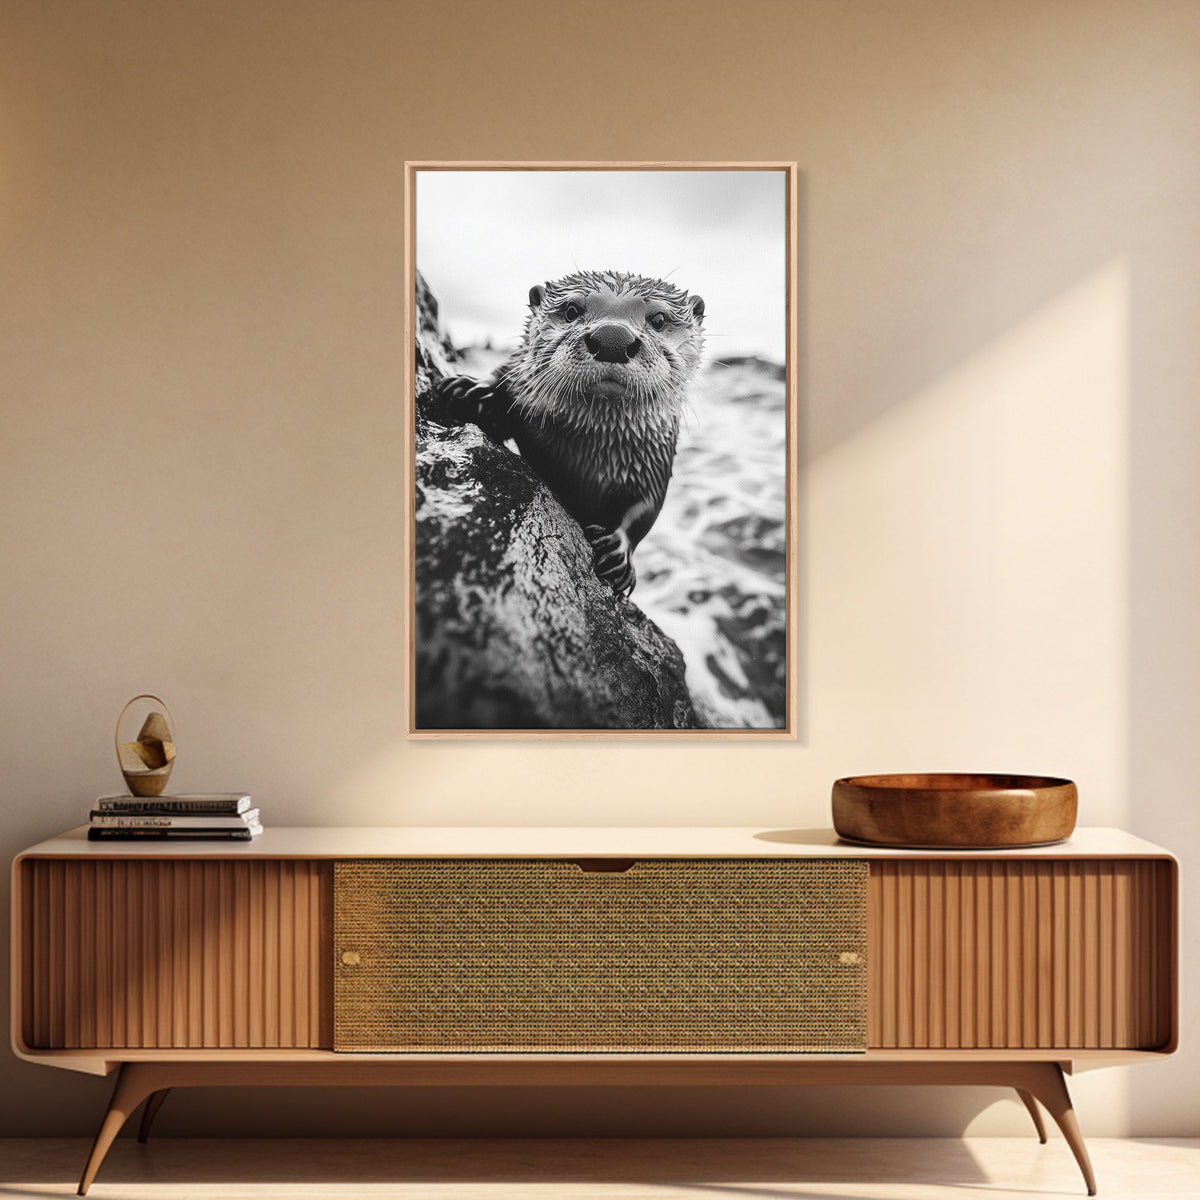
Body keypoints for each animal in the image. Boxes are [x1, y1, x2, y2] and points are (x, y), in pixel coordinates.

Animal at [434, 269, 705, 596]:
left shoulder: (654, 459)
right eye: (572, 310)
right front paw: (473, 389)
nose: (612, 339)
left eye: (659, 319)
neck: (587, 452)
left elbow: (645, 509)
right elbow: (504, 374)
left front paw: (618, 552)